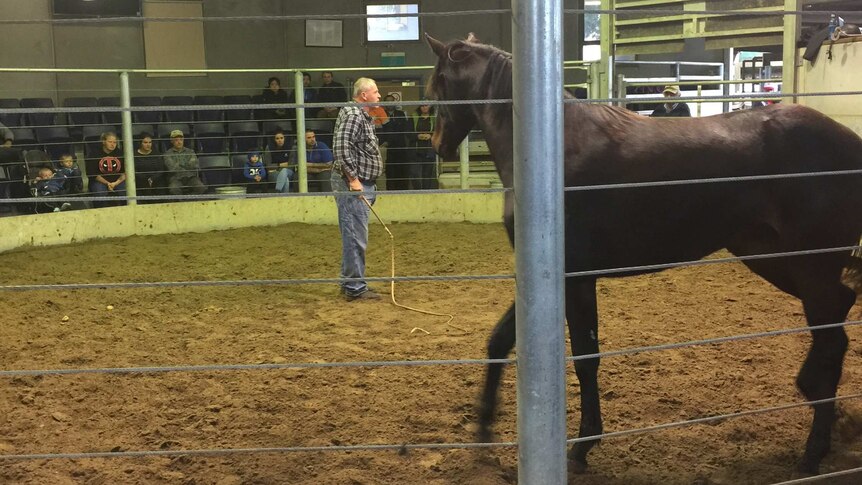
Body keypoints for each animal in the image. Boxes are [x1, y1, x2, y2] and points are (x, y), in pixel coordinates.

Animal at [426, 33, 862, 472]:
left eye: (436, 86)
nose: (437, 146)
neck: (551, 157)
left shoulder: (575, 277)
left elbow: (585, 358)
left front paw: (581, 447)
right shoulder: (546, 280)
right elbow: (501, 341)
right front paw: (483, 433)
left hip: (809, 266)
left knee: (832, 336)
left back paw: (812, 449)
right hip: (772, 258)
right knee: (840, 313)